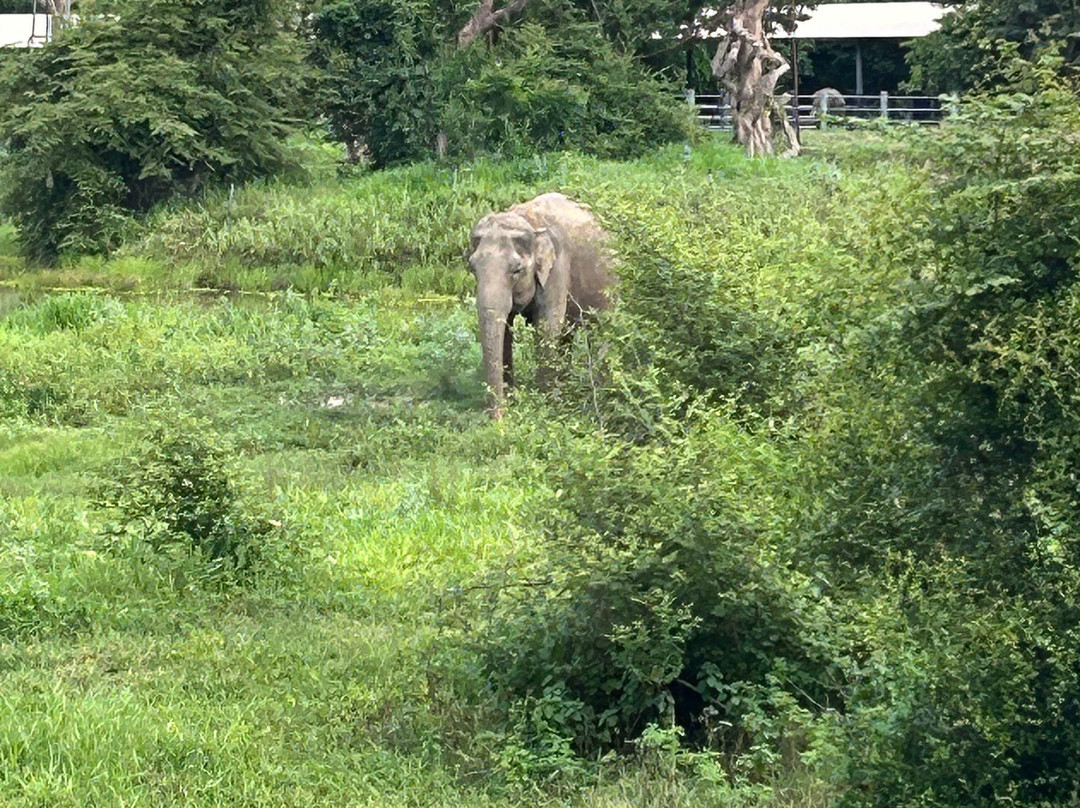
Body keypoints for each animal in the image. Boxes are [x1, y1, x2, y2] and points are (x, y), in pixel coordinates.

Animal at [466, 192, 614, 416]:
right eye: (473, 268)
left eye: (516, 270)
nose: (498, 418)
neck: (529, 222)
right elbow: (506, 329)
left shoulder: (557, 268)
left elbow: (547, 327)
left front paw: (544, 405)